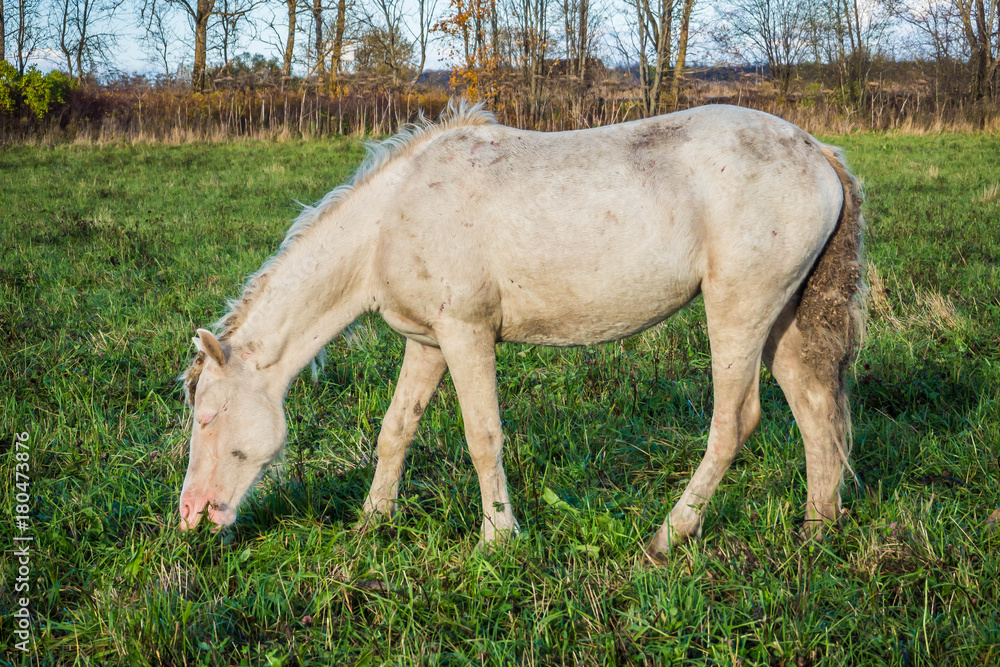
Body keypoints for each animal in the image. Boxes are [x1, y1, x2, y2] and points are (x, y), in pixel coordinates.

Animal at [178, 101, 864, 561]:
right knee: (816, 410)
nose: (190, 516)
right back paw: (816, 530)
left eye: (207, 417)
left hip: (737, 313)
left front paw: (497, 539)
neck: (389, 220)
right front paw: (371, 523)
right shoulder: (427, 342)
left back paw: (667, 538)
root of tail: (817, 150)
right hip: (782, 321)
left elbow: (483, 437)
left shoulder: (466, 335)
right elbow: (396, 430)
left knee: (735, 421)